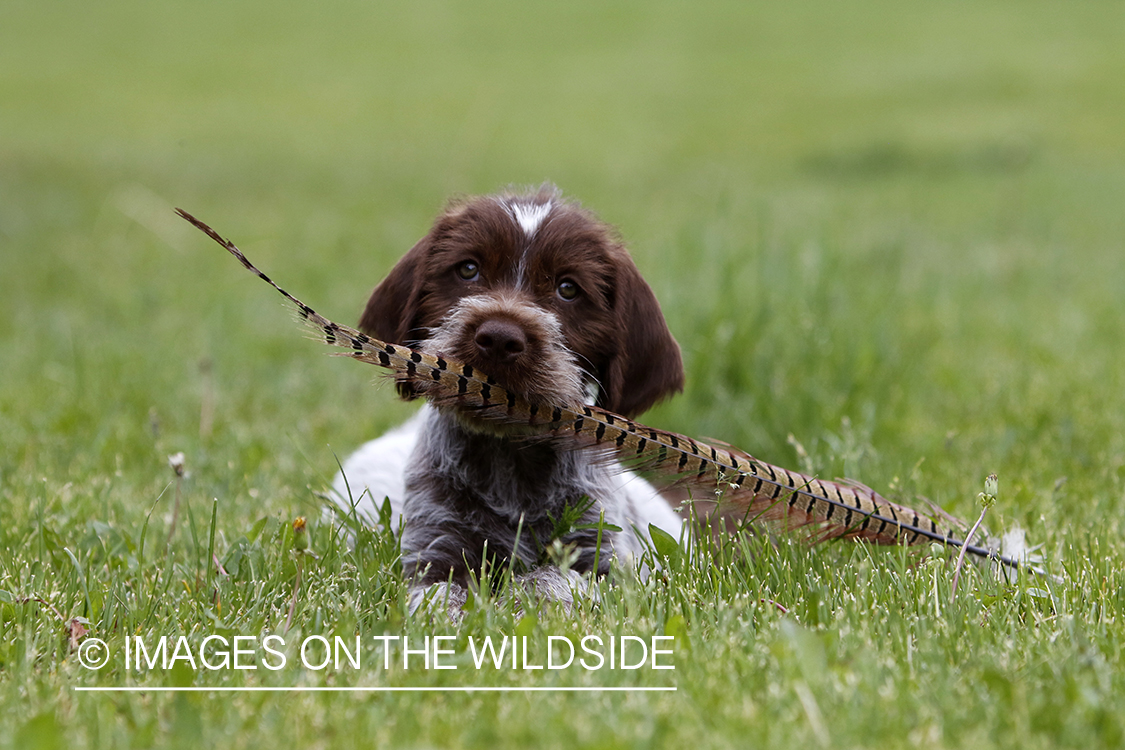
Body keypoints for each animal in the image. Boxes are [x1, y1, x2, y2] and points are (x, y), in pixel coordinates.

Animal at [328, 184, 684, 611]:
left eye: (568, 289)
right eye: (468, 270)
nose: (499, 337)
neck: (510, 460)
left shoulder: (604, 565)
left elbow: (552, 580)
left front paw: (519, 597)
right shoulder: (435, 552)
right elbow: (439, 600)